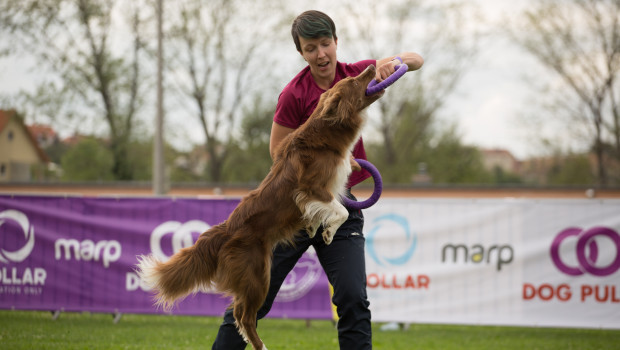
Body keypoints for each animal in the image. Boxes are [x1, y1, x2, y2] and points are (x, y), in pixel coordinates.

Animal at [137, 63, 382, 350]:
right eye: (354, 81)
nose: (371, 66)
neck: (327, 134)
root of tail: (226, 230)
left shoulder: (317, 194)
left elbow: (325, 210)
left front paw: (313, 227)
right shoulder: (311, 188)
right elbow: (340, 210)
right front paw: (329, 232)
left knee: (237, 313)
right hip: (258, 275)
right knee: (243, 315)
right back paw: (261, 346)